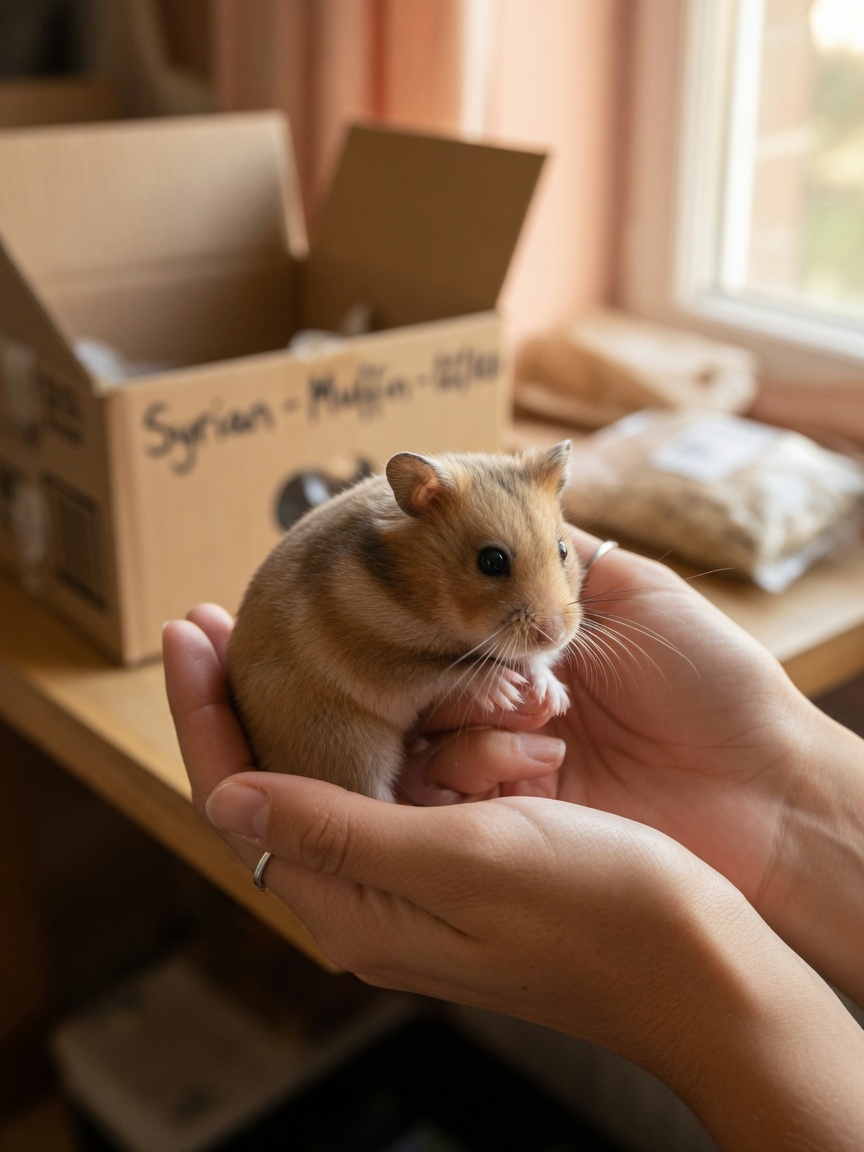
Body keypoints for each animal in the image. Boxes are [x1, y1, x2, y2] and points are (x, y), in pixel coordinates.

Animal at [227, 441, 583, 803]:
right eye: (491, 561)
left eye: (563, 549)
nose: (553, 636)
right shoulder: (384, 667)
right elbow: (451, 669)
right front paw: (505, 689)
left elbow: (532, 662)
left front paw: (555, 699)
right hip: (348, 746)